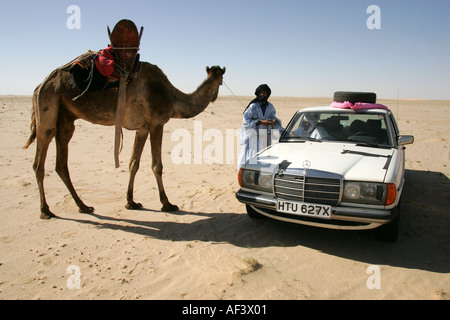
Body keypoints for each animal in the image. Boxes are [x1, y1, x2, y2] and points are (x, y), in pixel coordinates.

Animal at [22, 61, 225, 219]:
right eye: (222, 80)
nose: (216, 96)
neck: (174, 97)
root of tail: (39, 86)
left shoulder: (143, 127)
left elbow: (134, 163)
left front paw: (131, 202)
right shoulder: (157, 123)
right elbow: (157, 165)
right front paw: (167, 204)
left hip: (65, 118)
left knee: (61, 164)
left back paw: (83, 206)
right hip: (47, 106)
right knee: (39, 160)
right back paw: (45, 211)